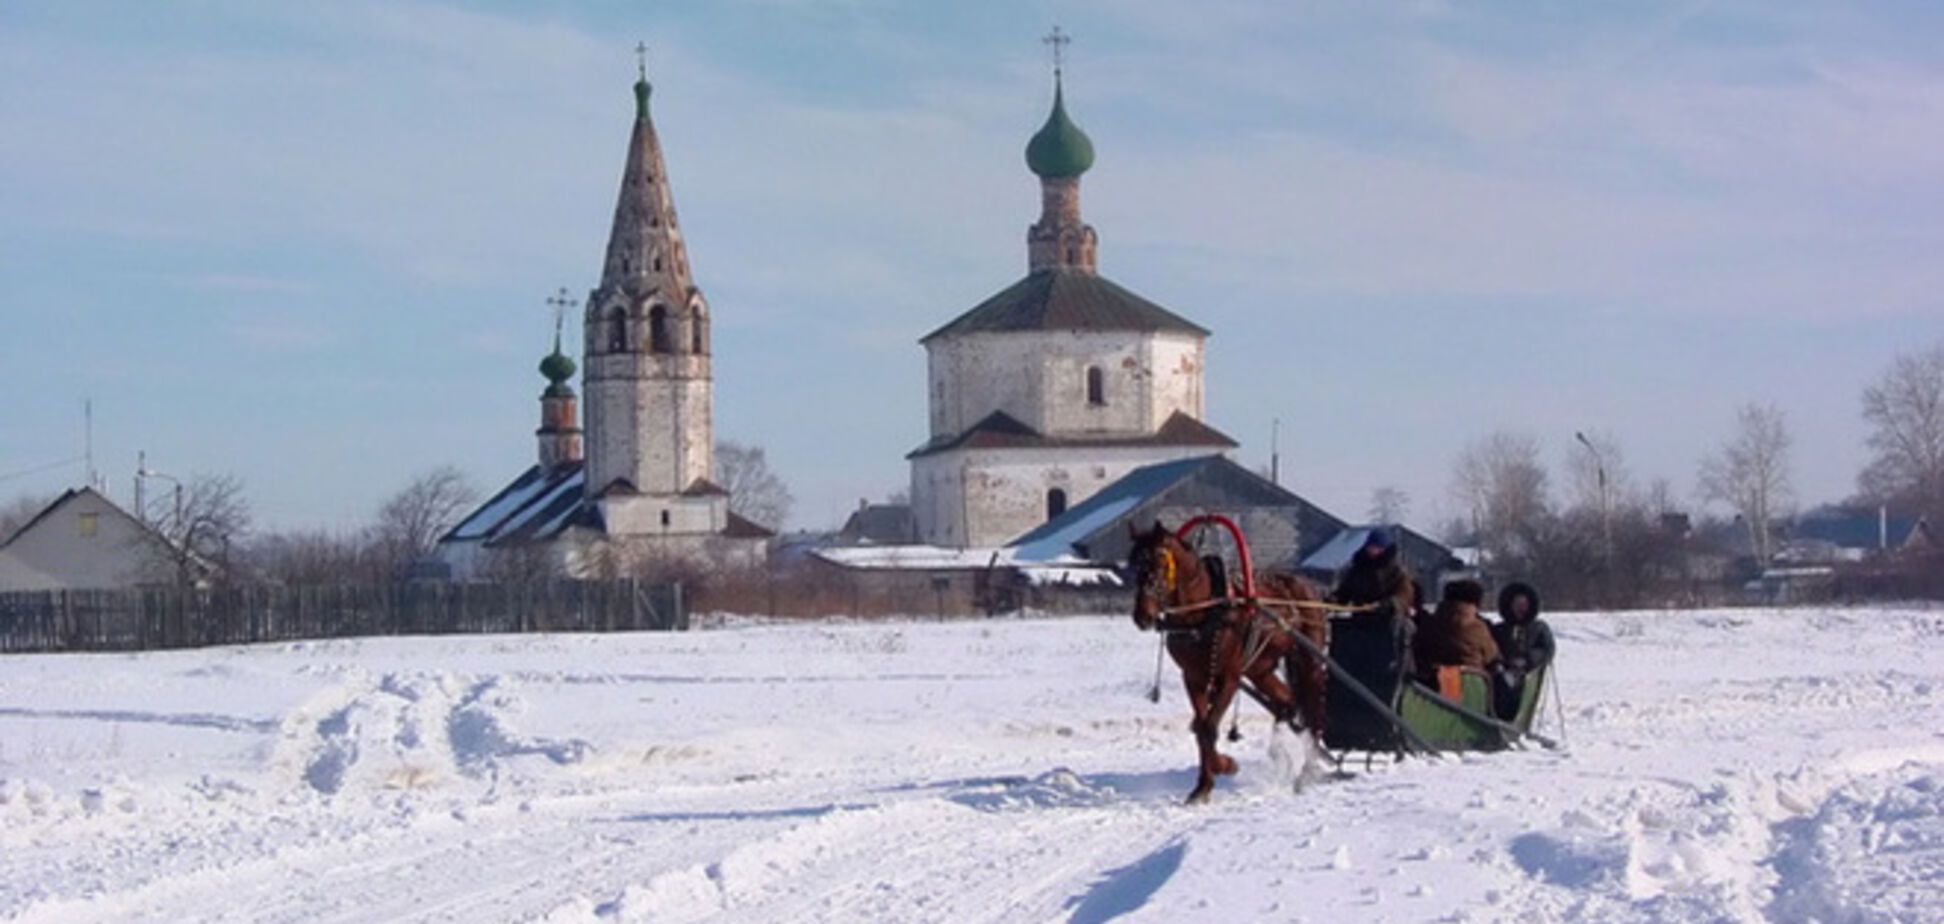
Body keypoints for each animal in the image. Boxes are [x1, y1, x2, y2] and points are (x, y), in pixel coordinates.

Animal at [1135, 521, 1329, 801]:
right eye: (1134, 564)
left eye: (1160, 563)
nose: (1142, 615)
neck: (1206, 612)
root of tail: (1307, 587)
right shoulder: (1193, 677)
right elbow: (1201, 727)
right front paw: (1204, 784)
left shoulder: (1229, 677)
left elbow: (1209, 727)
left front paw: (1224, 766)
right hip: (1261, 669)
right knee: (1287, 704)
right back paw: (1281, 756)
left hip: (1309, 659)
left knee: (1313, 712)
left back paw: (1307, 772)